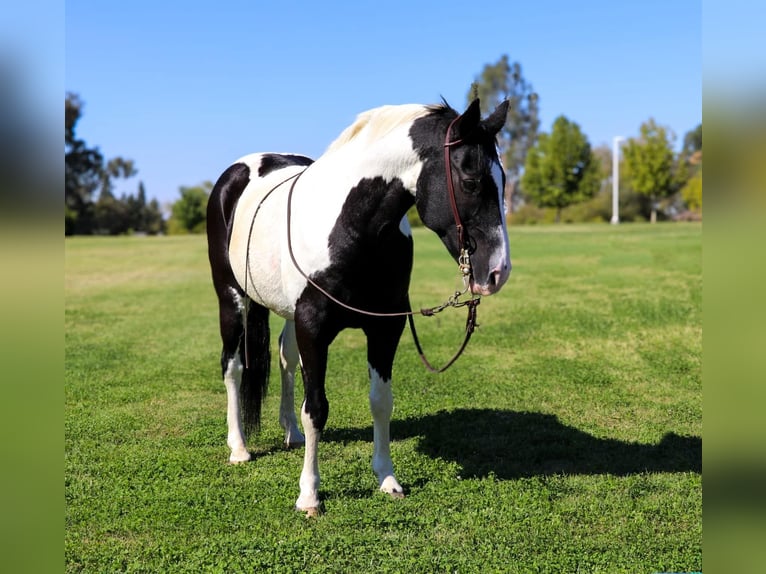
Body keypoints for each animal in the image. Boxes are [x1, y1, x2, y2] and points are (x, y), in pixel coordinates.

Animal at [207, 97, 512, 516]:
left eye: (503, 181)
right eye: (470, 182)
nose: (498, 271)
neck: (353, 227)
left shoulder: (385, 327)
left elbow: (381, 402)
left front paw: (387, 478)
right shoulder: (314, 326)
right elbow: (316, 408)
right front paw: (310, 495)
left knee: (286, 358)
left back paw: (289, 432)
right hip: (231, 298)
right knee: (233, 366)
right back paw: (238, 446)